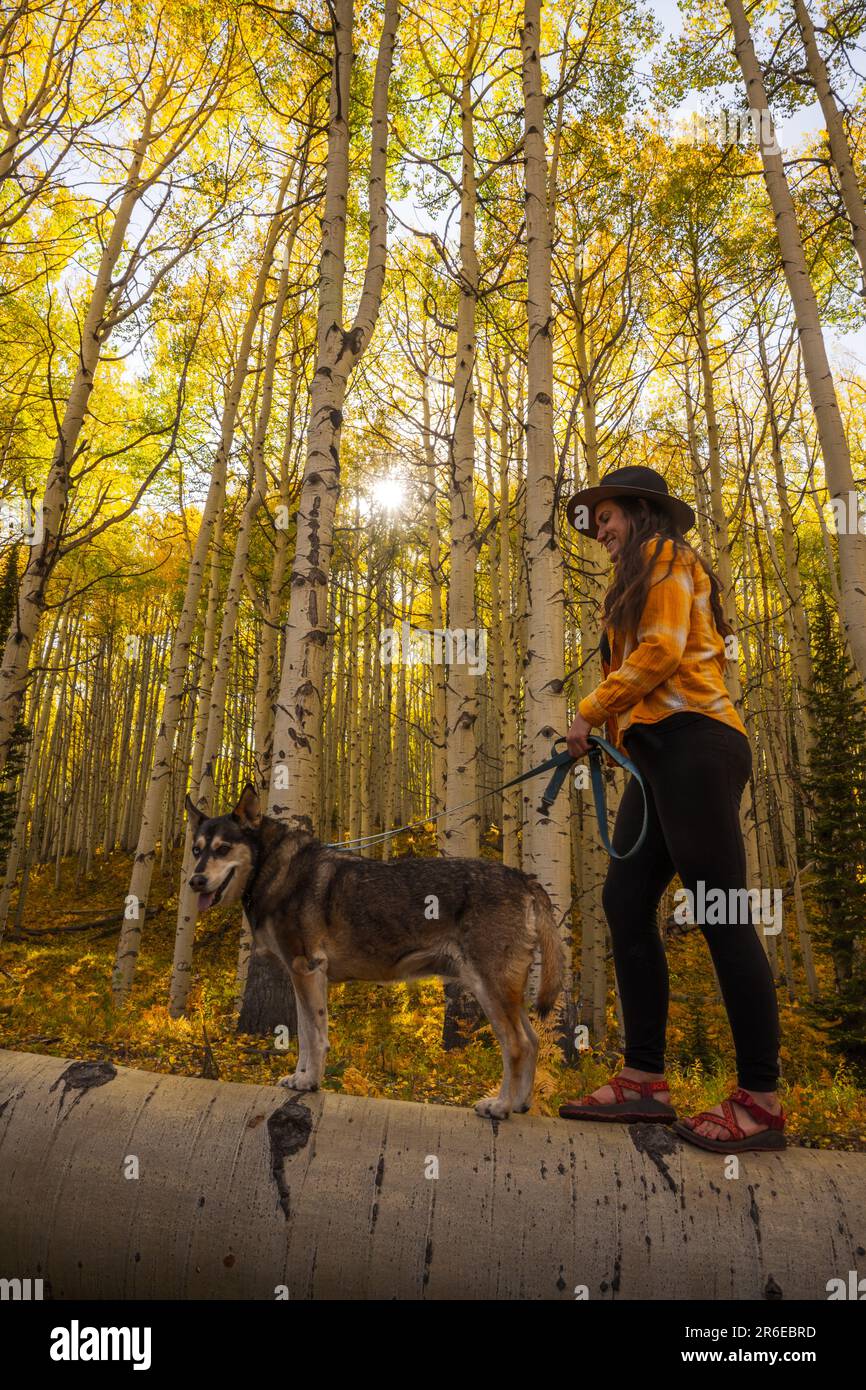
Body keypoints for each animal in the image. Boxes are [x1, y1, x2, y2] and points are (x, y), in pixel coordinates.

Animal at [186, 783, 567, 1117]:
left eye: (223, 849)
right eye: (197, 850)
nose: (195, 881)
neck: (273, 867)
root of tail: (523, 878)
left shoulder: (308, 970)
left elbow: (315, 1037)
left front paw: (310, 1082)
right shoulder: (301, 977)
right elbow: (305, 1035)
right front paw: (299, 1077)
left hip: (490, 989)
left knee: (517, 1046)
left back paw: (501, 1106)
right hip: (508, 992)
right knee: (534, 1041)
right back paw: (521, 1103)